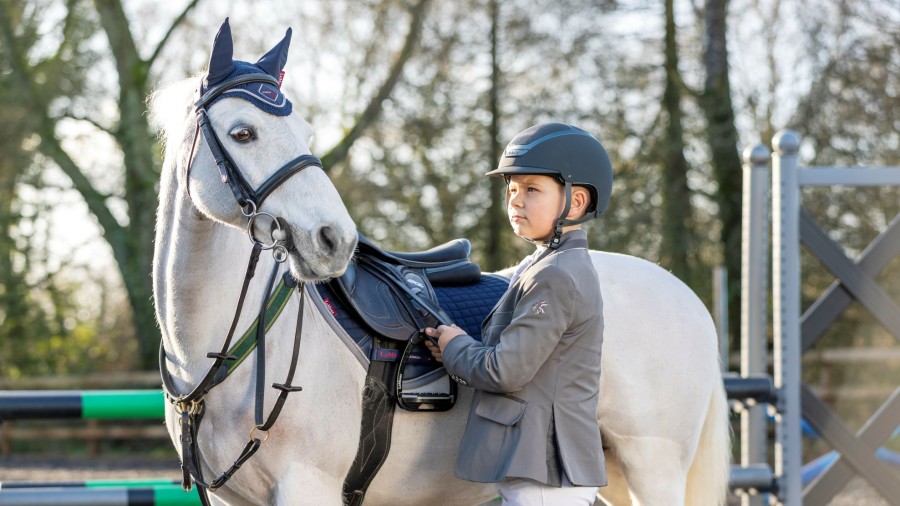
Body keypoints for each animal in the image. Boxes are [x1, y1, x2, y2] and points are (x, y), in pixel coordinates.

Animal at [151, 26, 732, 506]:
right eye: (243, 133)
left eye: (307, 131)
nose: (334, 240)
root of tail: (684, 296)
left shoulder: (305, 488)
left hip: (654, 469)